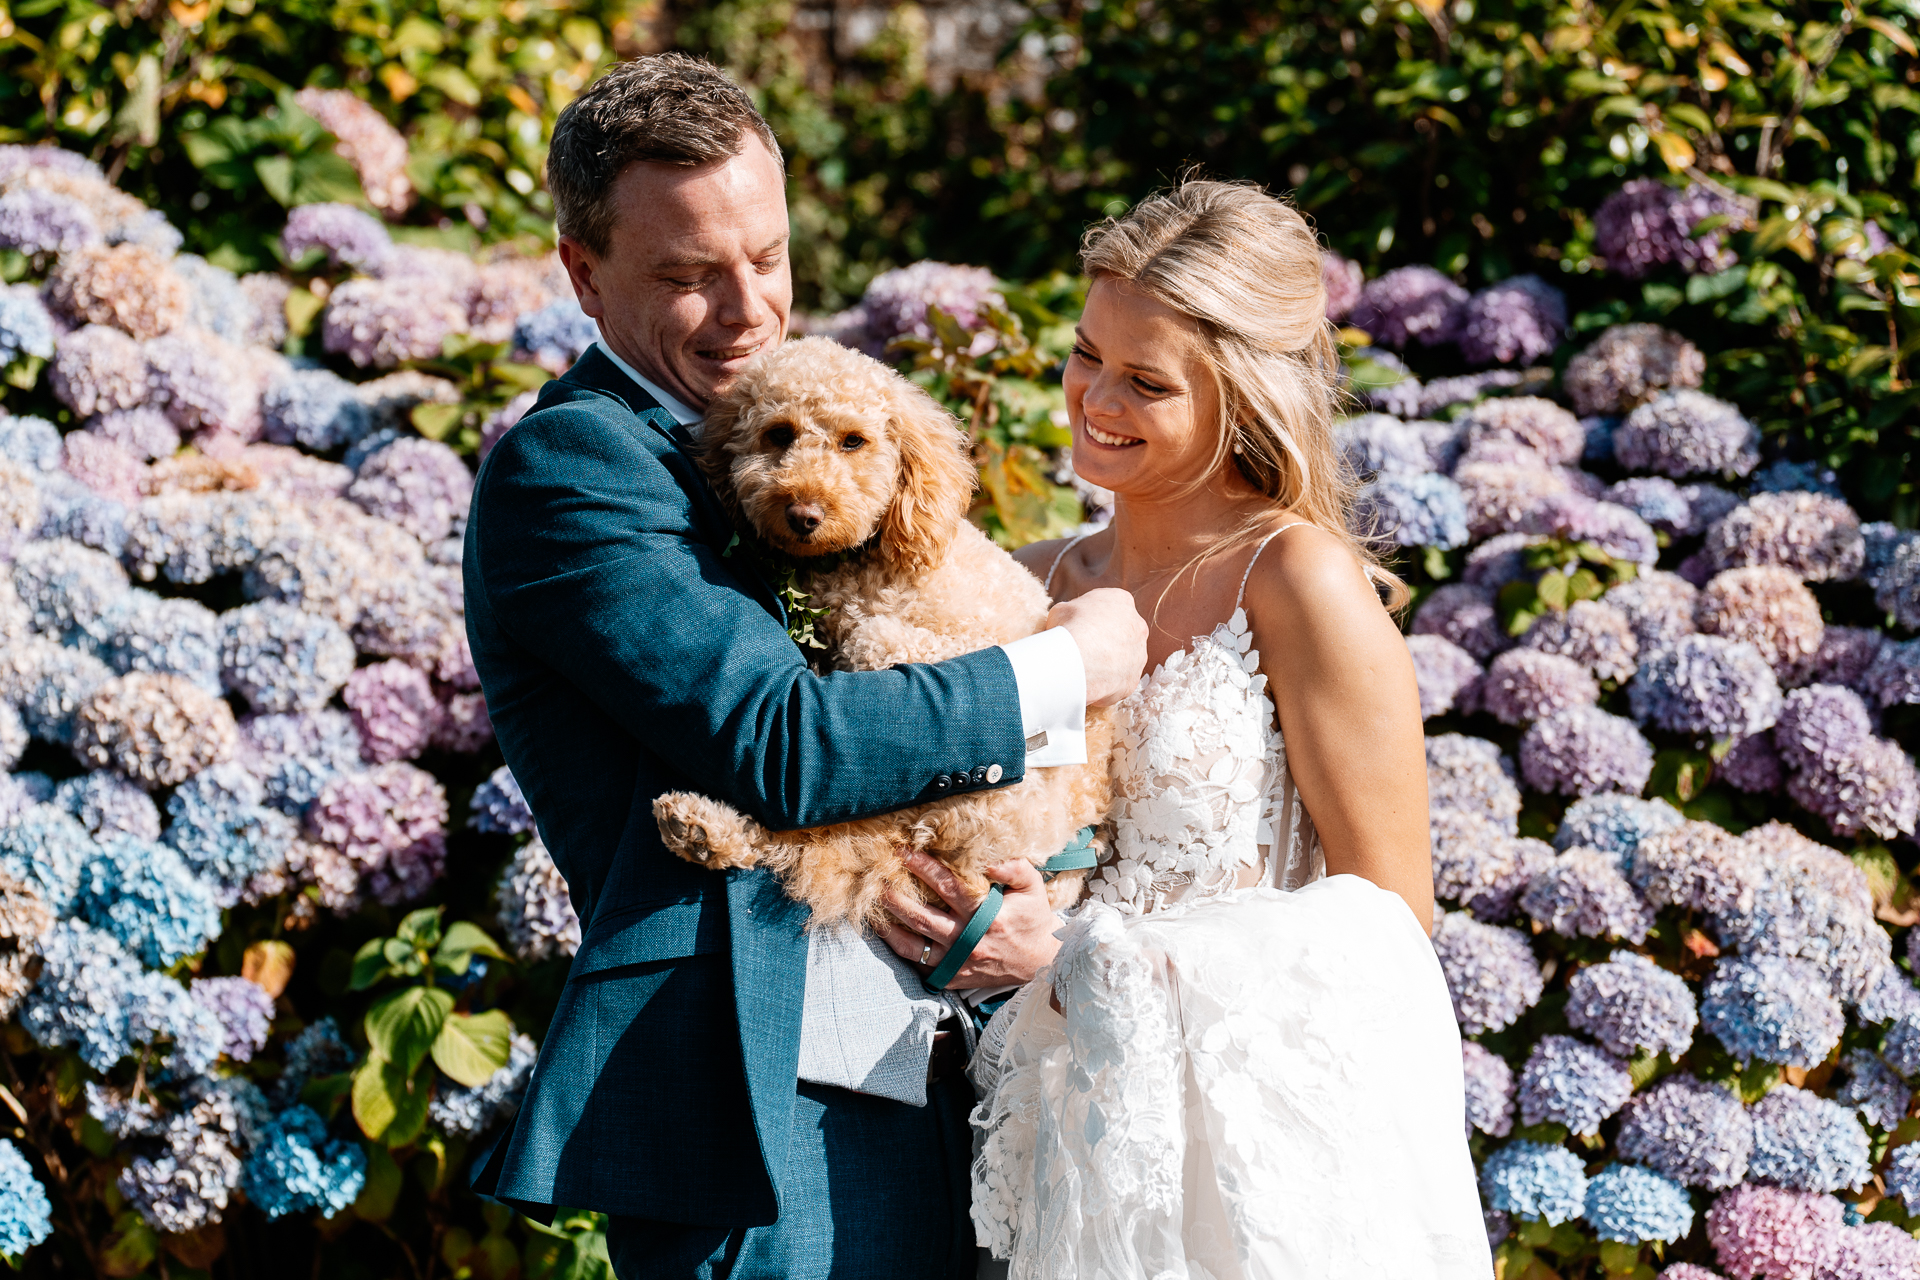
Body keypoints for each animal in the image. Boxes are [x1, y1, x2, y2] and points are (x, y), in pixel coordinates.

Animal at [656, 330, 1121, 932]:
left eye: (854, 441)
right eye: (778, 433)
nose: (804, 514)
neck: (857, 560)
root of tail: (1068, 855)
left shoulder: (961, 640)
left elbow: (871, 636)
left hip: (972, 802)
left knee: (828, 837)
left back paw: (702, 829)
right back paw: (701, 830)